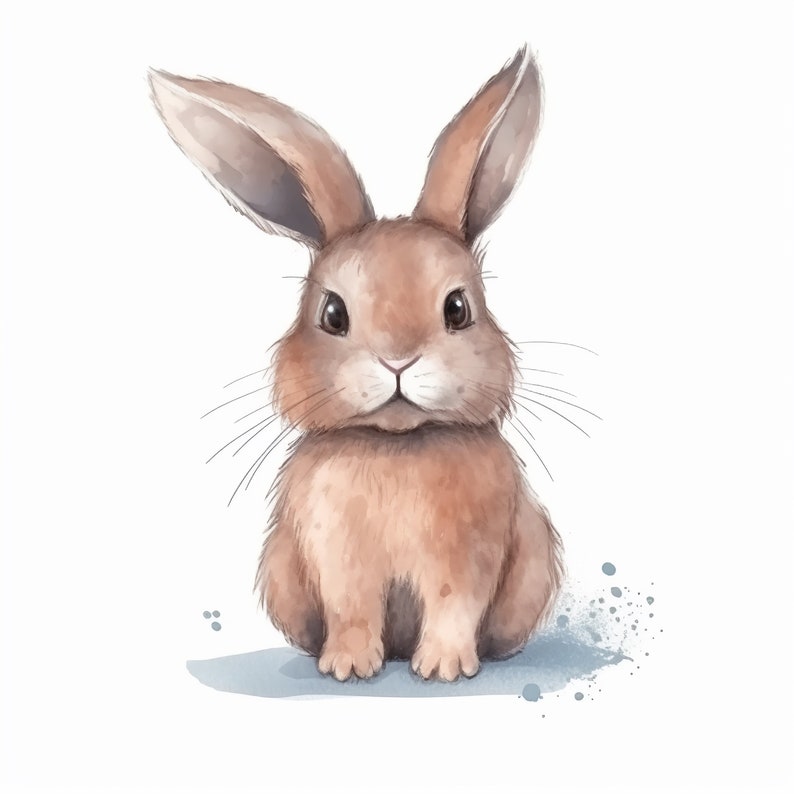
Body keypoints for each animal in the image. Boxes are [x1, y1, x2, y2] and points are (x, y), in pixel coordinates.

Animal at [149, 45, 563, 682]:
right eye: (333, 313)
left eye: (458, 308)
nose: (398, 361)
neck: (395, 446)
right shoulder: (336, 560)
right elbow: (352, 610)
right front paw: (346, 667)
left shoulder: (466, 559)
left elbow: (453, 606)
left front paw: (442, 668)